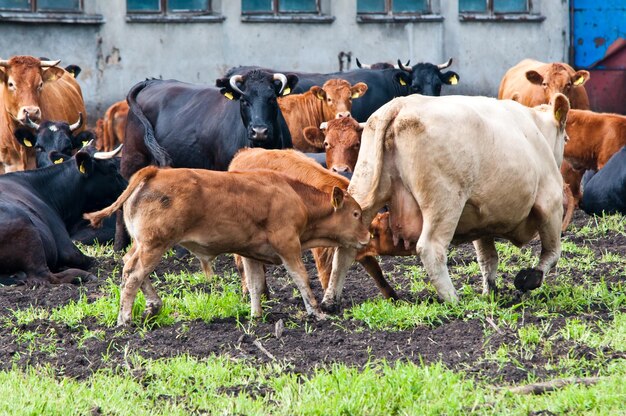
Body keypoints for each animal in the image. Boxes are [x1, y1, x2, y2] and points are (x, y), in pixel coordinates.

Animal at [0, 146, 125, 286]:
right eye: (112, 168)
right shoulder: (67, 247)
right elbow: (92, 260)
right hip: (28, 233)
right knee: (44, 275)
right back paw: (84, 276)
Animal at [82, 164, 366, 324]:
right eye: (355, 214)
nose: (366, 238)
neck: (295, 197)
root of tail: (155, 171)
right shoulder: (288, 246)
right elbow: (301, 279)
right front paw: (316, 313)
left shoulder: (251, 253)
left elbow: (254, 285)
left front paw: (255, 317)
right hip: (154, 244)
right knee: (134, 275)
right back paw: (125, 318)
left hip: (143, 244)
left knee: (130, 266)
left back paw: (153, 306)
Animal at [117, 70, 300, 250]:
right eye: (244, 100)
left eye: (272, 98)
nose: (259, 131)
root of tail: (151, 81)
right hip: (133, 159)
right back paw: (120, 246)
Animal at [229, 148, 400, 300]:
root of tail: (244, 153)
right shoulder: (321, 248)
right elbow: (326, 273)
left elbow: (376, 270)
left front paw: (393, 297)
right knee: (241, 263)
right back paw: (247, 292)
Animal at [320, 92, 568, 310]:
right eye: (566, 138)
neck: (535, 130)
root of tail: (400, 105)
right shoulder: (551, 204)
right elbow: (553, 252)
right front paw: (530, 278)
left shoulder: (483, 221)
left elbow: (488, 259)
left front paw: (491, 293)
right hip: (444, 202)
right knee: (431, 248)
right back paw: (453, 299)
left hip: (363, 192)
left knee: (344, 250)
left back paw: (331, 301)